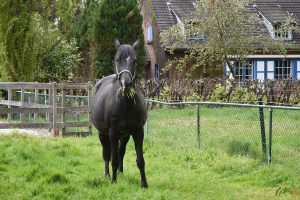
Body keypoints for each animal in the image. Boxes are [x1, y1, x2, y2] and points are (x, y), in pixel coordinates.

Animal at [91, 39, 148, 188]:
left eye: (134, 60)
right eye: (117, 59)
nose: (126, 83)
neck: (125, 104)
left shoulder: (138, 131)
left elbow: (140, 159)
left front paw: (144, 183)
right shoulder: (113, 132)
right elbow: (114, 158)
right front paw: (113, 181)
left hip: (125, 135)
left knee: (121, 151)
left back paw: (121, 172)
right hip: (103, 134)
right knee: (107, 154)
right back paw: (107, 175)